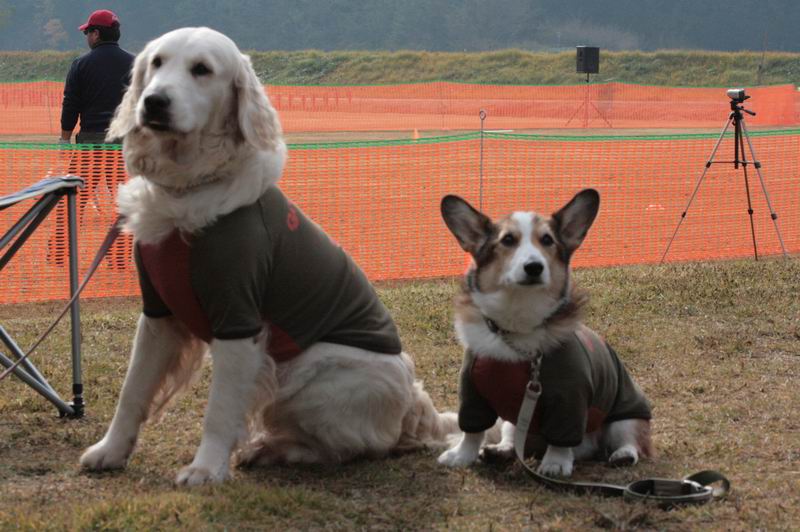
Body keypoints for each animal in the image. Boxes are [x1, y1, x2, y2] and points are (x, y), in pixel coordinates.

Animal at [79, 27, 456, 486]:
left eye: (201, 69)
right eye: (157, 63)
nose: (154, 102)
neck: (187, 190)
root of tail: (415, 406)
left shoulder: (238, 319)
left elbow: (220, 410)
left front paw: (205, 469)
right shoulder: (157, 314)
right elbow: (131, 392)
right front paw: (110, 451)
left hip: (310, 372)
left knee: (352, 449)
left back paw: (272, 450)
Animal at [436, 189, 653, 477]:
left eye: (547, 240)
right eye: (507, 240)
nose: (534, 267)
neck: (517, 323)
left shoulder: (570, 399)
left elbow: (561, 438)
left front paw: (556, 463)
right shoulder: (472, 392)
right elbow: (472, 430)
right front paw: (462, 455)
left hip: (626, 415)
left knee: (630, 439)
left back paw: (622, 455)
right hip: (513, 419)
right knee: (512, 437)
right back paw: (500, 451)